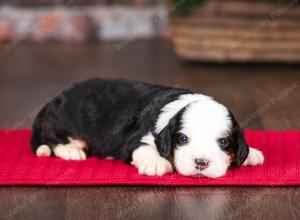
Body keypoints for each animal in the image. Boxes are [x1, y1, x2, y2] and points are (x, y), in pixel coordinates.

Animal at [31, 78, 264, 178]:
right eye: (183, 139)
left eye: (224, 142)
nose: (201, 163)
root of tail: (55, 99)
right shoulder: (135, 141)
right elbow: (144, 149)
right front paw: (156, 163)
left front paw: (251, 153)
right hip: (64, 124)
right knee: (52, 139)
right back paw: (71, 151)